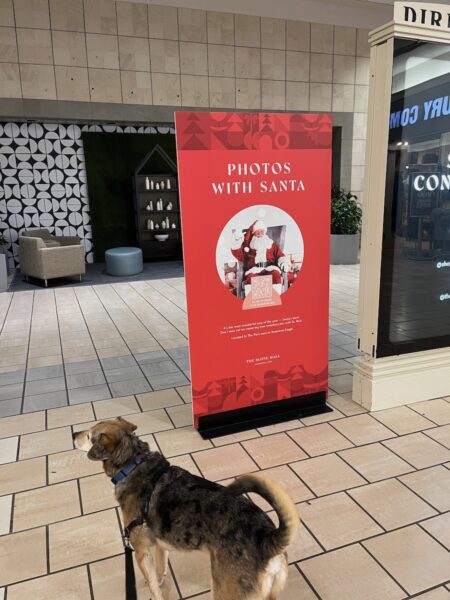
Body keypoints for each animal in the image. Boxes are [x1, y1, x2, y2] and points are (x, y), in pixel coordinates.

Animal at [74, 418, 298, 600]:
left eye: (89, 435)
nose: (73, 433)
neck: (133, 465)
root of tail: (267, 537)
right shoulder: (160, 545)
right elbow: (159, 571)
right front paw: (159, 580)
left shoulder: (140, 551)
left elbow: (153, 585)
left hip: (225, 591)